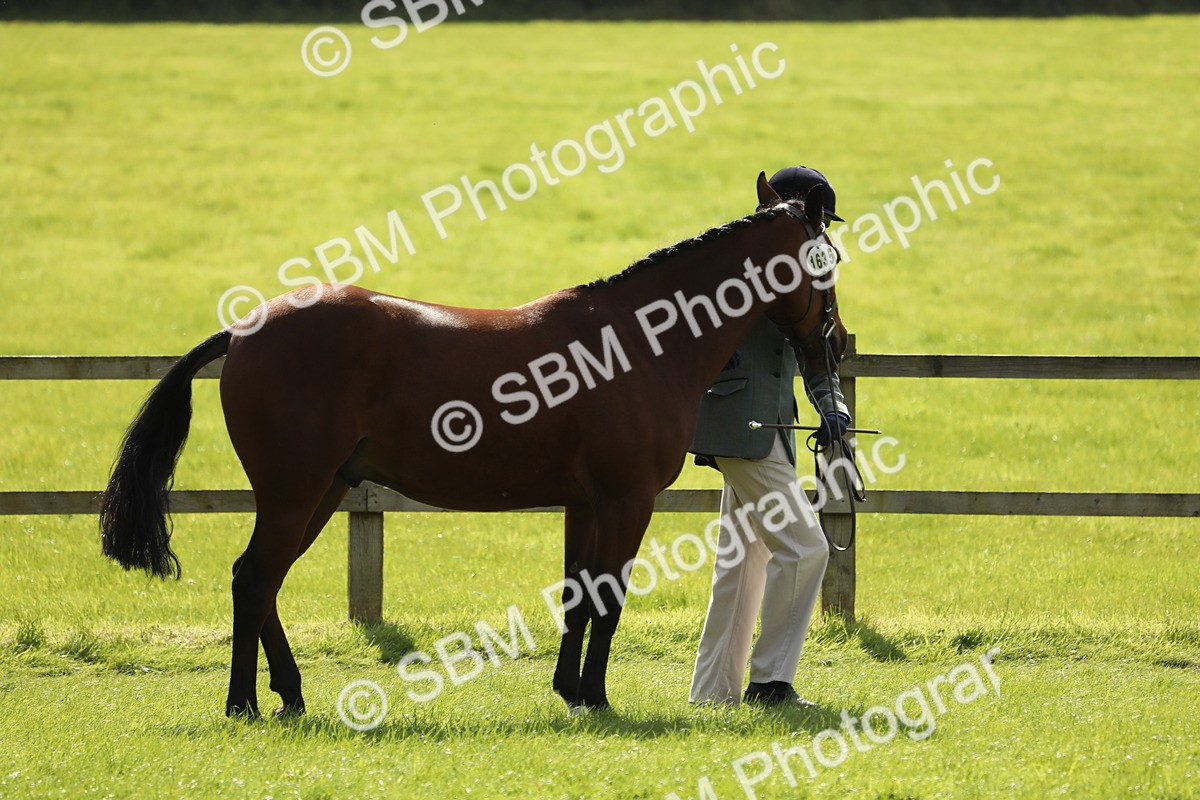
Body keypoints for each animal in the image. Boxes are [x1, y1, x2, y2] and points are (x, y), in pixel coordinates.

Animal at [100, 174, 848, 718]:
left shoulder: (584, 503)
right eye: (828, 263)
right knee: (255, 580)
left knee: (262, 583)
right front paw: (597, 698)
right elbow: (607, 598)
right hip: (294, 493)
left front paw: (570, 692)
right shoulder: (626, 499)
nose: (836, 343)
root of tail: (246, 330)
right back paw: (246, 704)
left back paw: (288, 695)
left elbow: (577, 596)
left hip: (322, 491)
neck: (638, 342)